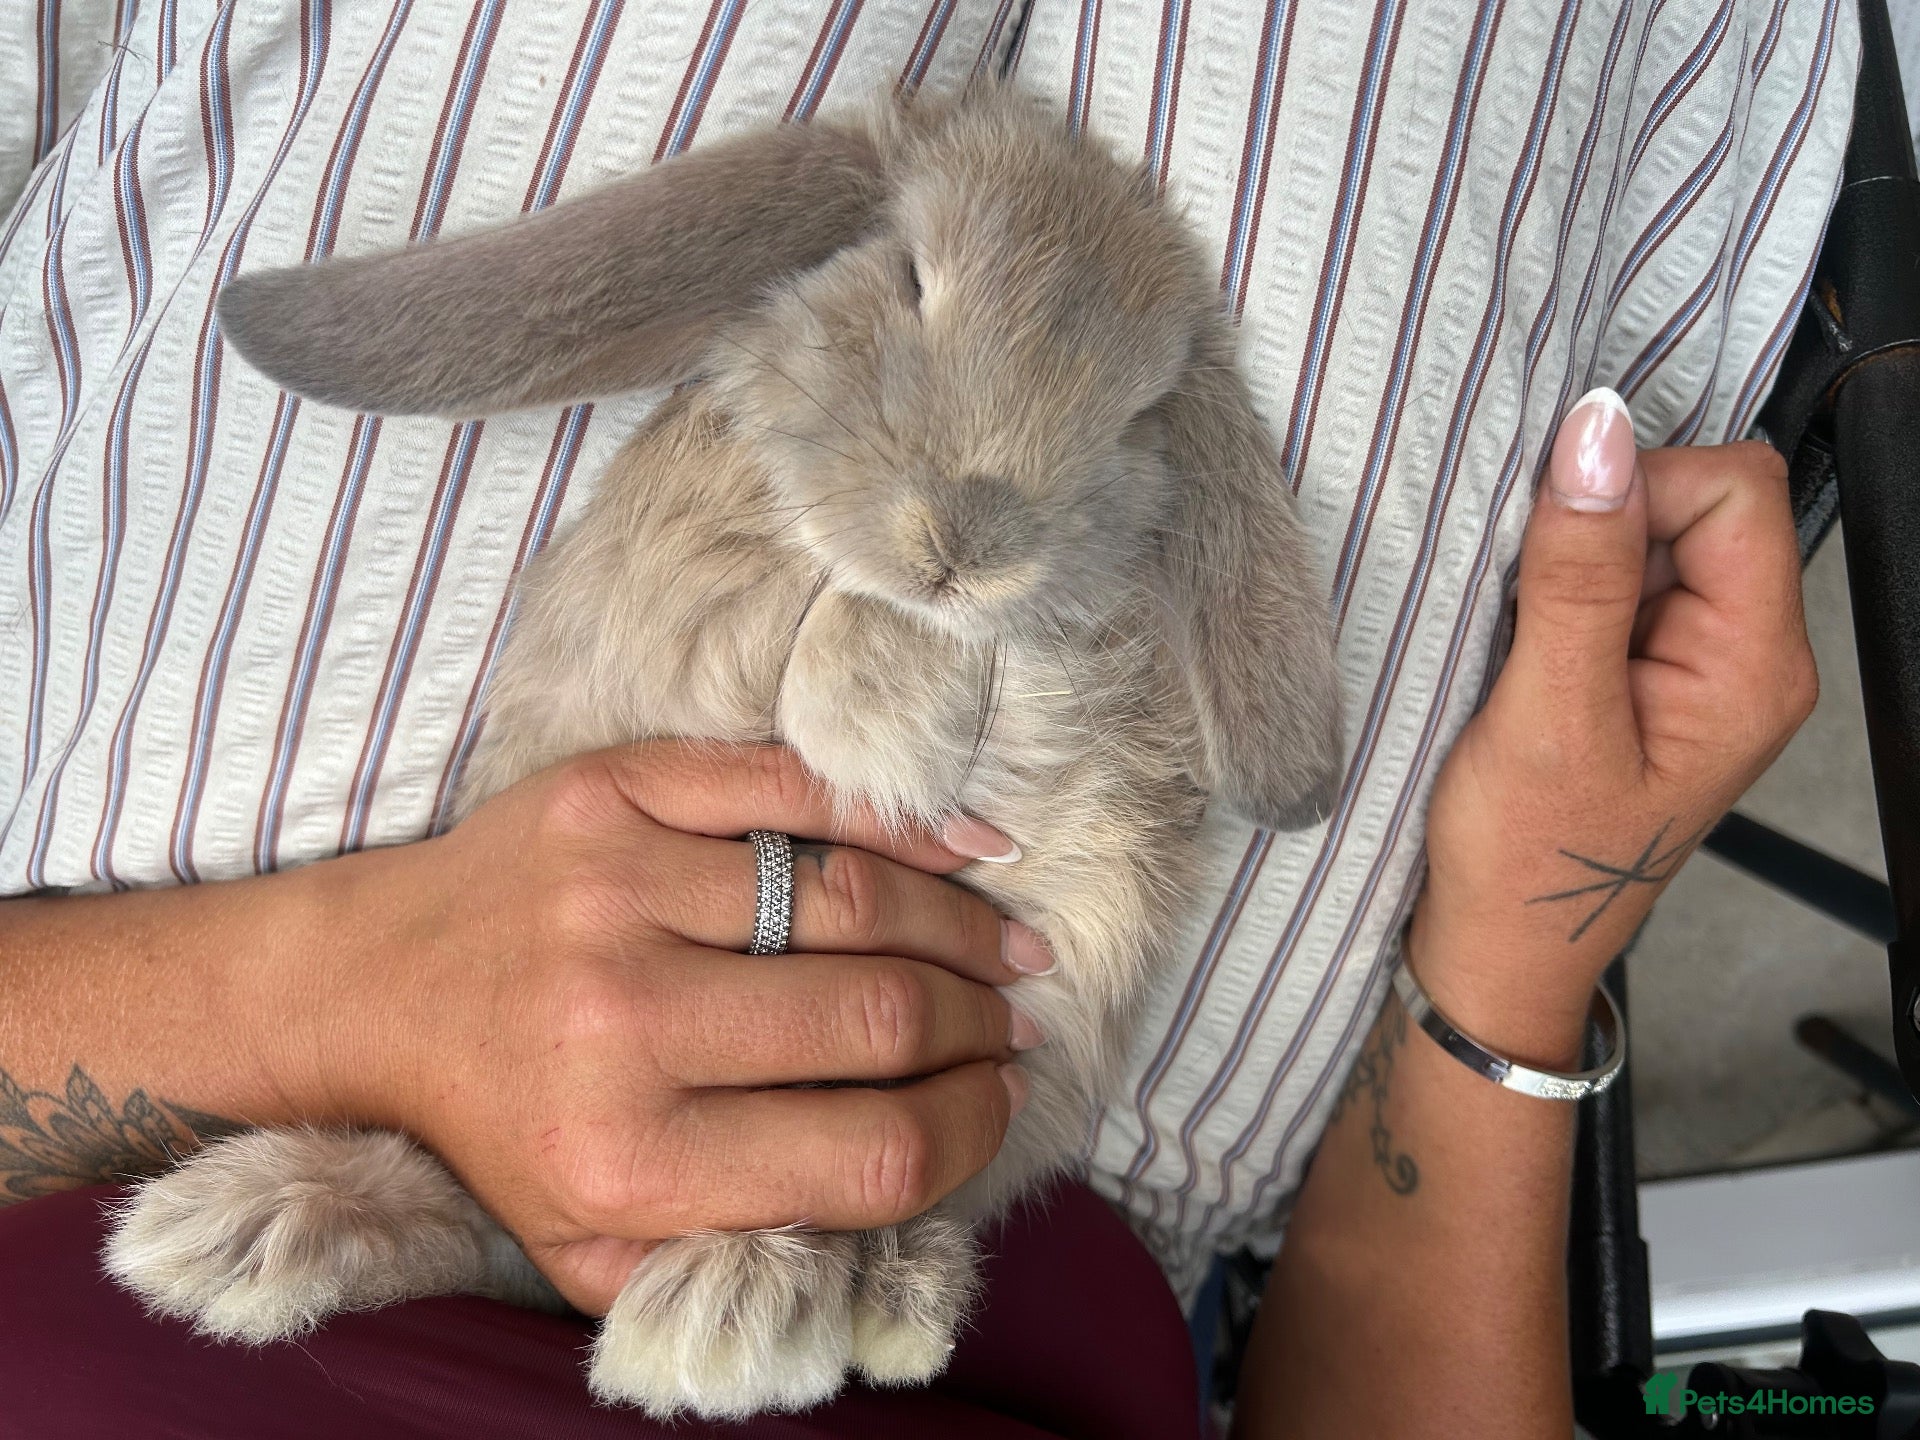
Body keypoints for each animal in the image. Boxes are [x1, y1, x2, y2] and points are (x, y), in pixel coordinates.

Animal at [102, 83, 1343, 1420]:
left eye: (1137, 416)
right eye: (910, 276)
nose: (969, 541)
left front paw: (893, 717)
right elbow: (821, 610)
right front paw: (888, 715)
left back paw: (777, 1302)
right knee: (478, 1224)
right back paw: (245, 1232)